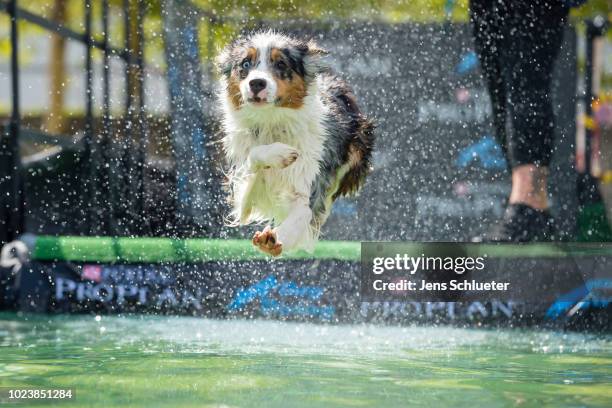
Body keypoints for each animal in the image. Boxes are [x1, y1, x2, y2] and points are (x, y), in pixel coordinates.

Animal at [215, 31, 378, 255]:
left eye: (281, 63)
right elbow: (254, 158)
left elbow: (304, 212)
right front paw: (278, 154)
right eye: (245, 63)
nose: (256, 83)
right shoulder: (241, 197)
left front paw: (275, 239)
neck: (271, 120)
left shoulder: (311, 178)